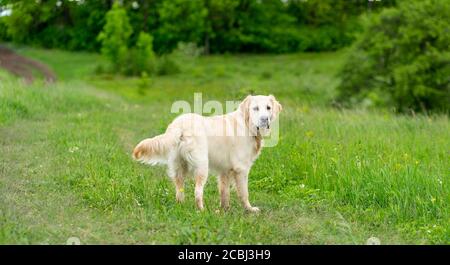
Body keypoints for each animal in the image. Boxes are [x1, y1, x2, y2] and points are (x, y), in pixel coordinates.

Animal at [132, 94, 284, 211]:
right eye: (255, 108)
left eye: (268, 108)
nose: (264, 119)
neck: (247, 124)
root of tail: (179, 125)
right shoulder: (241, 169)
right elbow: (244, 193)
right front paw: (250, 209)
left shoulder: (225, 170)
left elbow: (224, 192)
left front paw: (224, 210)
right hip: (202, 166)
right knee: (198, 192)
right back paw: (202, 210)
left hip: (178, 167)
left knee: (179, 190)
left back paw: (181, 206)